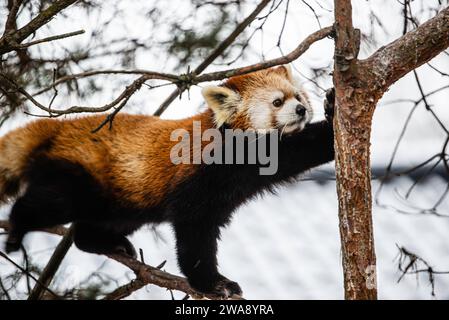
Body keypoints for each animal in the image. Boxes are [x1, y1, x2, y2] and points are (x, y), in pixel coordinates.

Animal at [0, 65, 330, 298]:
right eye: (277, 102)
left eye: (298, 97)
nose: (301, 109)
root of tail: (56, 126)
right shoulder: (198, 179)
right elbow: (193, 236)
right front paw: (213, 283)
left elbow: (300, 151)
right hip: (78, 174)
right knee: (48, 203)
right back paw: (17, 229)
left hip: (123, 201)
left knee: (90, 227)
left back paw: (108, 242)